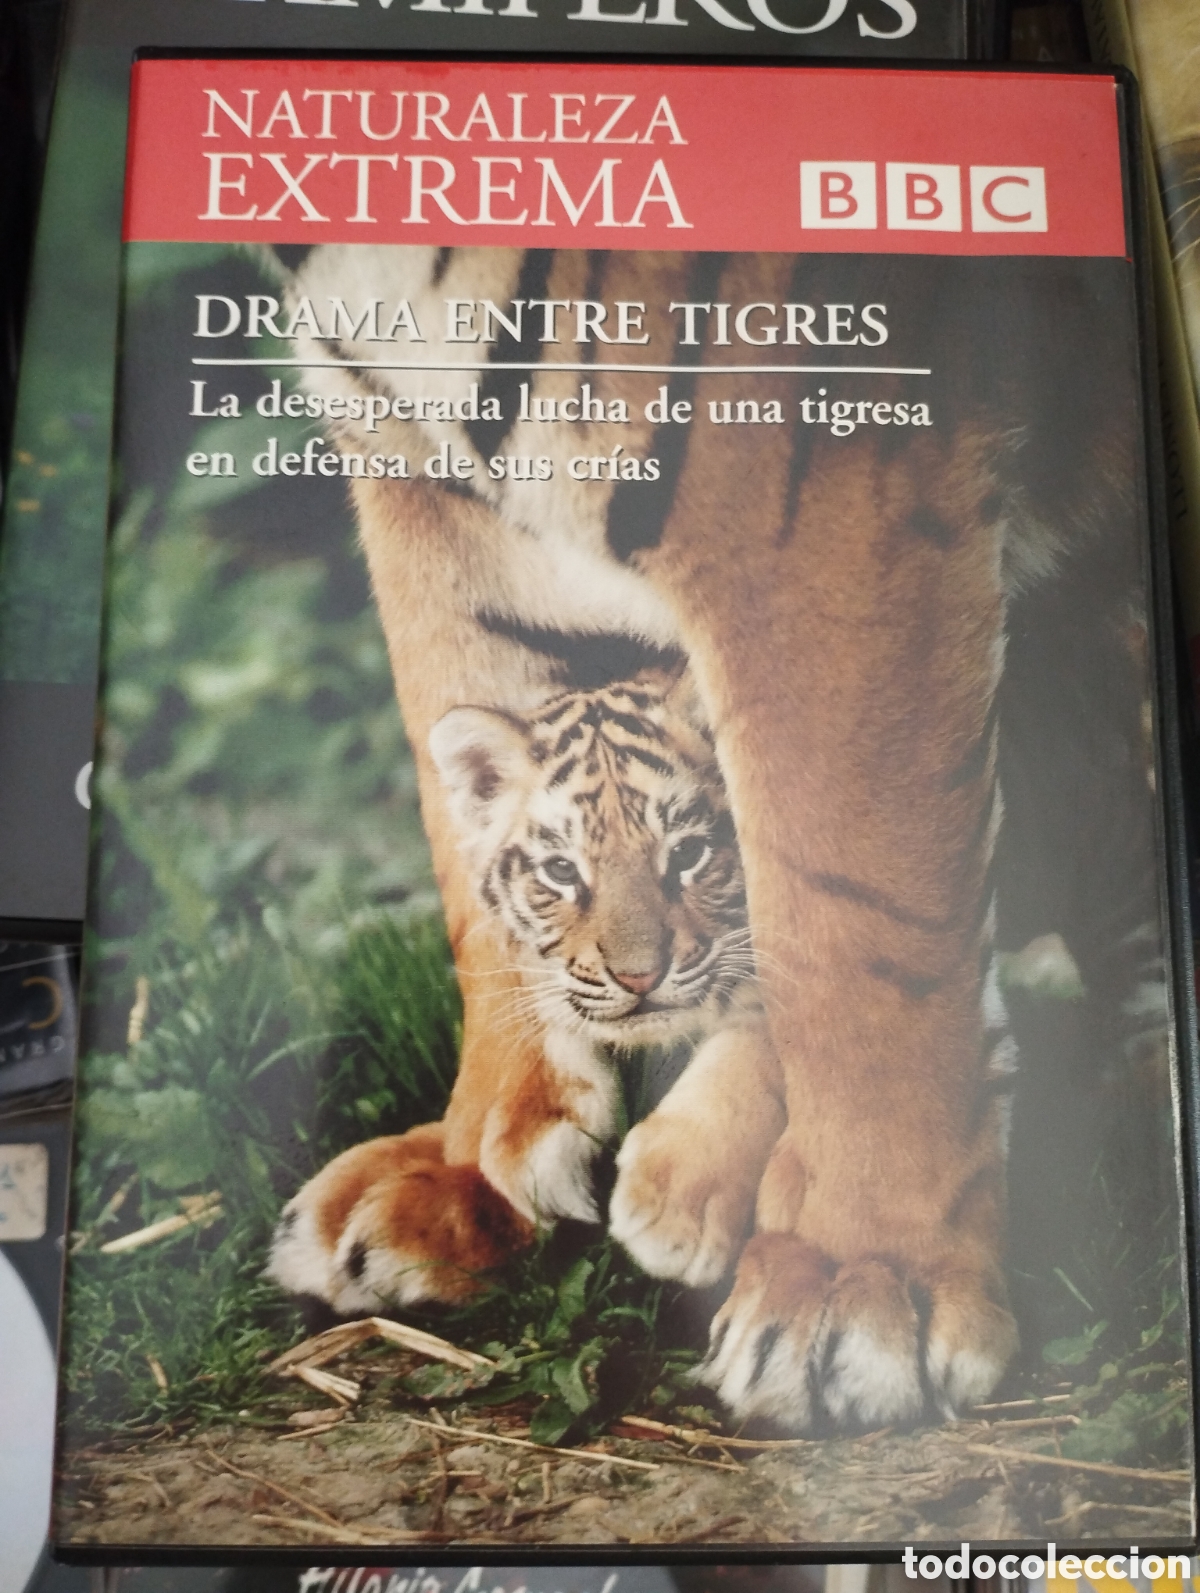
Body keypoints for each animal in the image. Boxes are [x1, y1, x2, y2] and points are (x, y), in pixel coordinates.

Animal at [260, 240, 1141, 1432]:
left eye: (685, 858)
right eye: (559, 871)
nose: (634, 974)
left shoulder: (817, 472)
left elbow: (848, 922)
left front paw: (858, 1281)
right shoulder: (407, 445)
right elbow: (463, 807)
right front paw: (474, 1165)